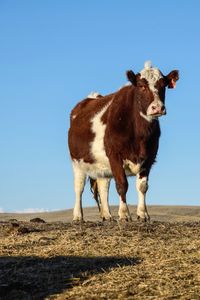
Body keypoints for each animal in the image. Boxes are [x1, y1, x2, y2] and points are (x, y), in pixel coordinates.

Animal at [68, 61, 179, 220]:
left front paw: (142, 214)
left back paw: (107, 215)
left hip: (102, 165)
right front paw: (124, 214)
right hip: (77, 162)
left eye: (163, 85)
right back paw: (78, 216)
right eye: (142, 86)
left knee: (103, 186)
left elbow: (142, 186)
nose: (157, 107)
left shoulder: (149, 158)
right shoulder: (115, 155)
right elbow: (122, 184)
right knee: (79, 187)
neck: (139, 134)